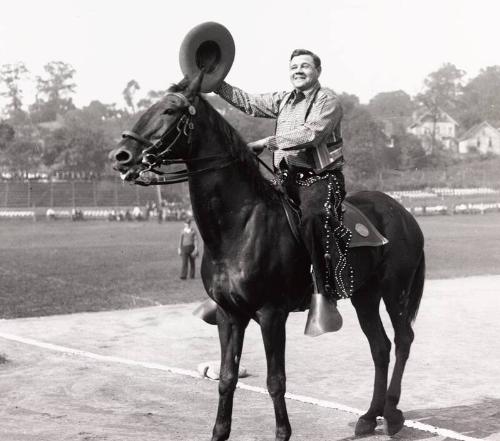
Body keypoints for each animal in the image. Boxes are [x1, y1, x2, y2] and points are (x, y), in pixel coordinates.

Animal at [110, 73, 426, 440]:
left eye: (170, 110)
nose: (121, 155)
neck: (241, 225)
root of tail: (403, 213)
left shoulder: (271, 315)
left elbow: (276, 381)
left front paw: (282, 432)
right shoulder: (230, 315)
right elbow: (226, 378)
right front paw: (220, 431)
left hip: (394, 290)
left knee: (403, 340)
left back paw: (391, 414)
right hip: (365, 295)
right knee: (380, 347)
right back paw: (369, 416)